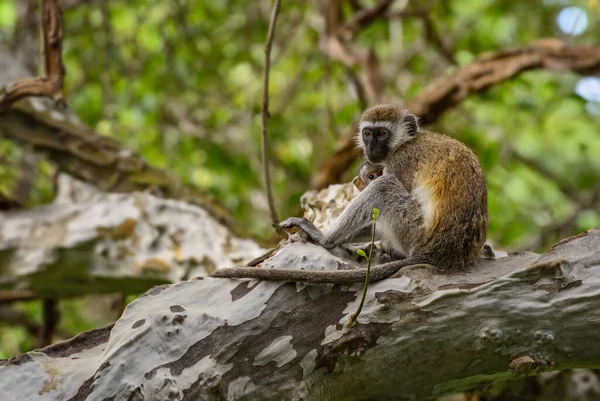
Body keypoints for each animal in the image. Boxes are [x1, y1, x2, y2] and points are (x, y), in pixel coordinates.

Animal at [211, 104, 488, 282]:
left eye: (382, 133)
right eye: (367, 133)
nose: (372, 147)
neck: (407, 142)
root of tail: (443, 253)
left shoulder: (402, 162)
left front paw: (321, 236)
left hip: (415, 237)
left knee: (385, 187)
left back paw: (325, 239)